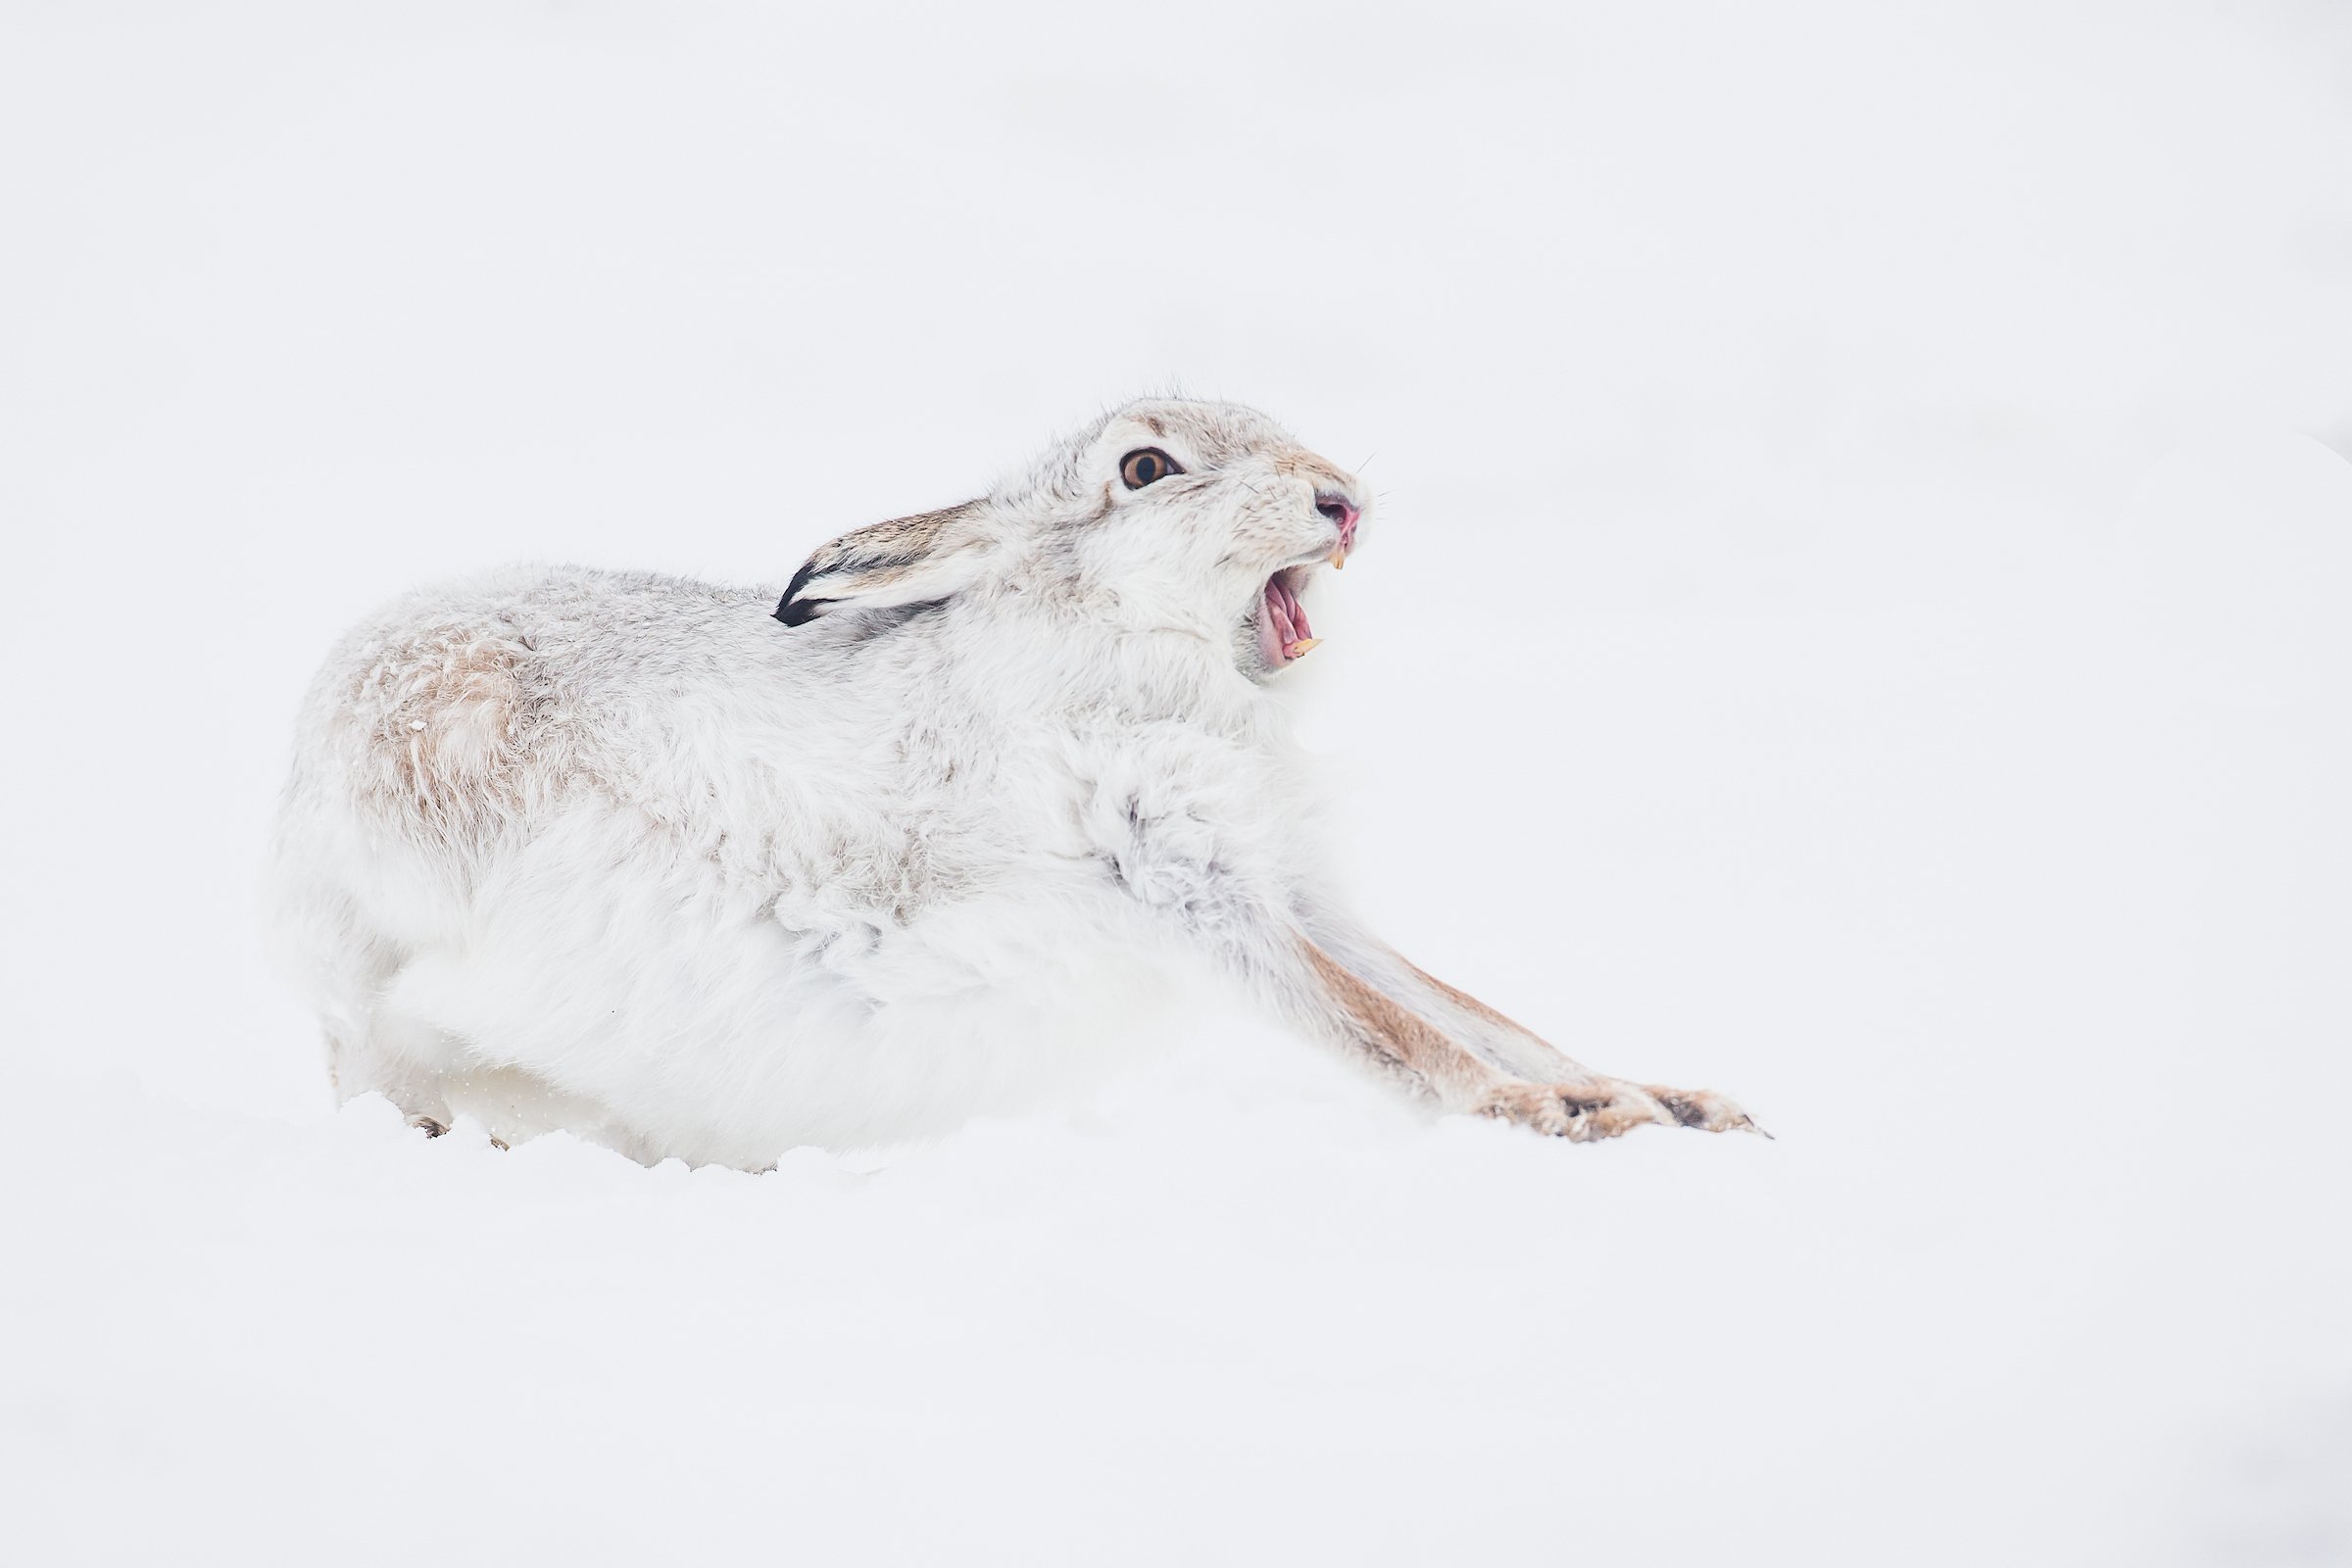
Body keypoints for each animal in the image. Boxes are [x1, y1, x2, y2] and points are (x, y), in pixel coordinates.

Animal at [264, 397, 1762, 1166]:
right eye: (1146, 469)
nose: (1341, 499)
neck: (1135, 658)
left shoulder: (1299, 891)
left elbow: (1459, 1001)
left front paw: (1671, 1101)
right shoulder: (1175, 883)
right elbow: (1387, 1030)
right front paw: (1553, 1119)